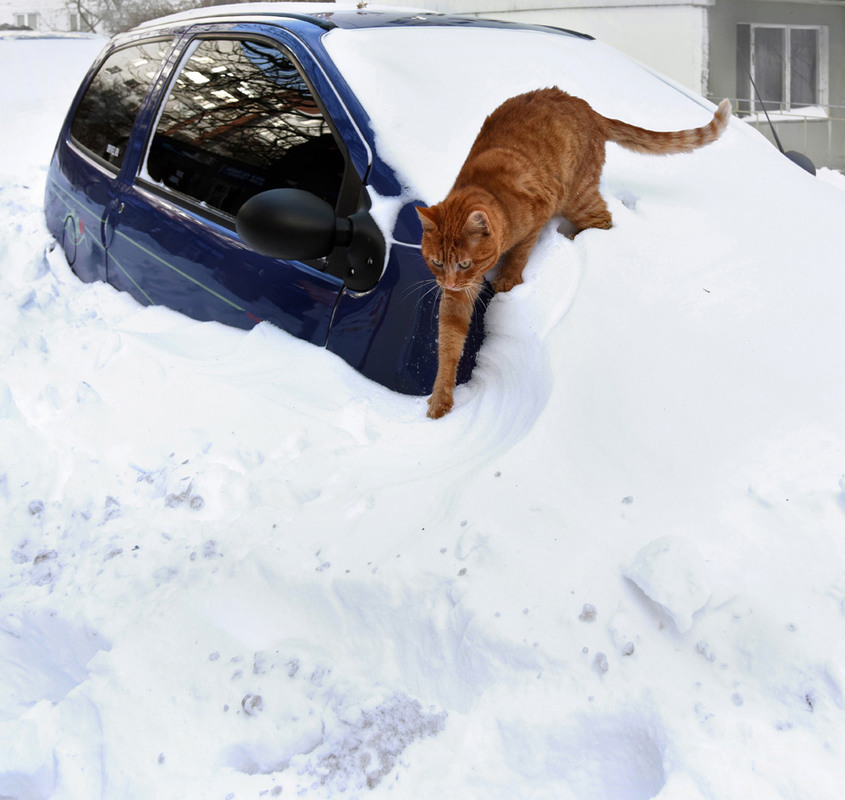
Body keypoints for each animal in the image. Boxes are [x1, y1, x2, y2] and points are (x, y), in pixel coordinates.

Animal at [418, 89, 728, 418]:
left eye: (464, 263)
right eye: (437, 262)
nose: (449, 283)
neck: (491, 191)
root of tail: (589, 110)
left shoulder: (536, 218)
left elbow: (520, 254)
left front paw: (508, 278)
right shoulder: (458, 297)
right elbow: (449, 342)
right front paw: (441, 396)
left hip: (578, 199)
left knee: (604, 220)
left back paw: (577, 238)